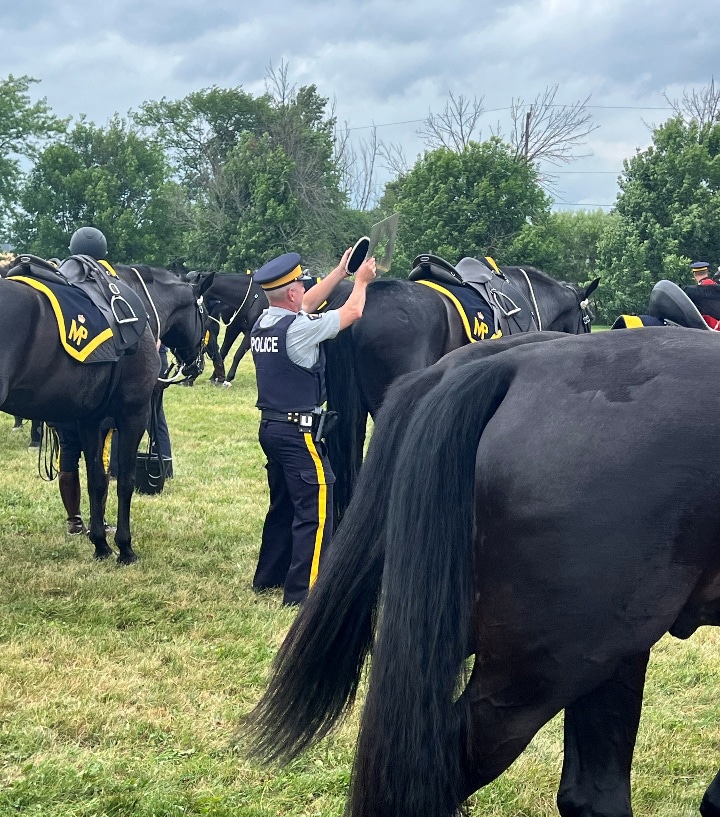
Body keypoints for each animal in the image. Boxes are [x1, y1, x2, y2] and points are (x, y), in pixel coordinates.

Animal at [0, 263, 215, 563]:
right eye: (205, 316)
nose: (196, 365)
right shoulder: (133, 416)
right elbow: (124, 481)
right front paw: (125, 547)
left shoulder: (90, 421)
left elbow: (96, 481)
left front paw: (100, 544)